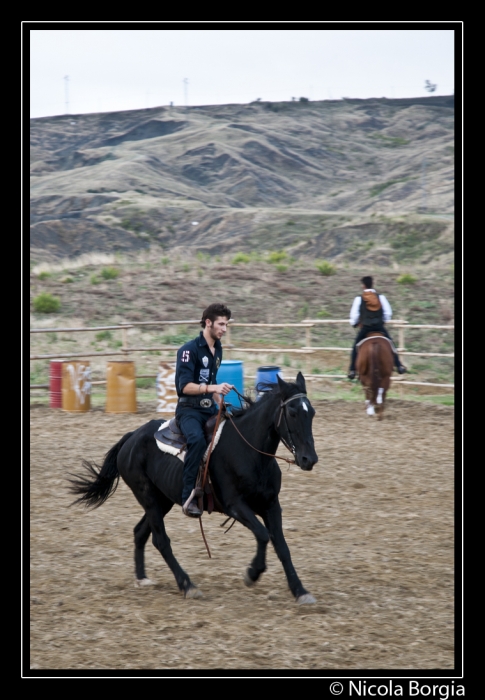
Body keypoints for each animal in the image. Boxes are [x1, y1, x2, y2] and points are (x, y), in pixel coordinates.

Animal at [67, 374, 318, 604]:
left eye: (312, 413)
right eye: (292, 413)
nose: (309, 459)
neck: (250, 451)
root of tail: (131, 438)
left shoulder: (271, 505)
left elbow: (282, 546)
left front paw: (300, 590)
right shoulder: (235, 505)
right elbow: (263, 535)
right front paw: (252, 573)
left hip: (162, 500)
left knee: (140, 532)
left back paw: (142, 578)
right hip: (148, 497)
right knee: (161, 541)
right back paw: (187, 585)